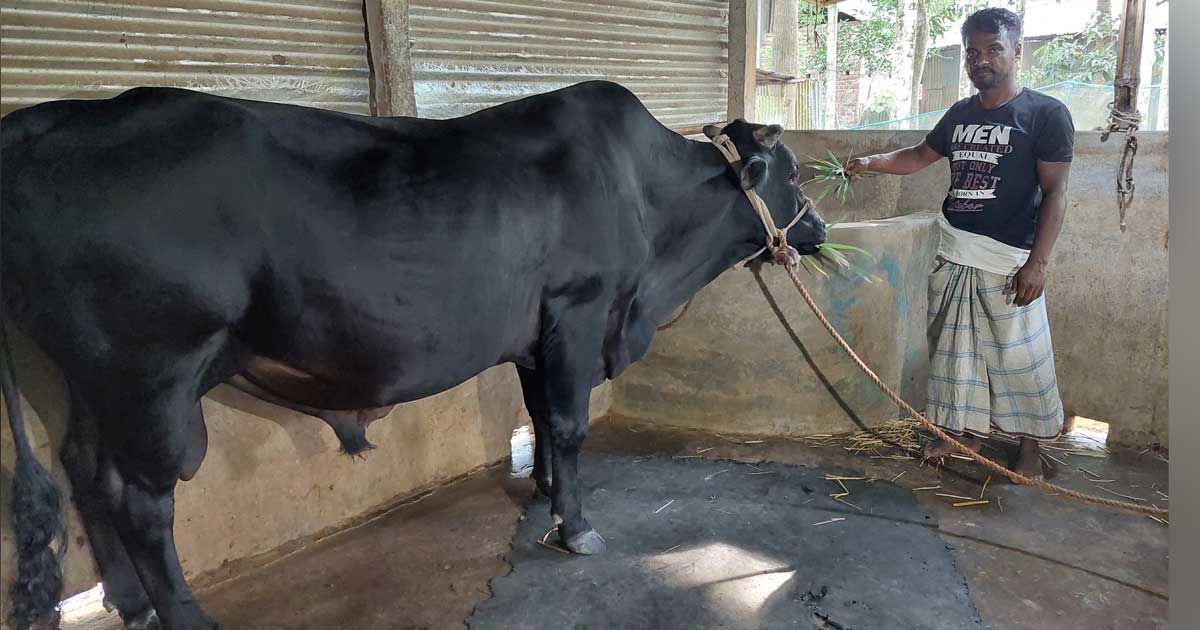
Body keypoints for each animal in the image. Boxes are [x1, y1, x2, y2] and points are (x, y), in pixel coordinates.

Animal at [2, 81, 825, 624]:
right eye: (794, 174)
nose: (817, 228)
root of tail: (47, 118)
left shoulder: (536, 336)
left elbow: (538, 415)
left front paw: (542, 493)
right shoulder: (579, 309)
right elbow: (568, 424)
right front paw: (577, 526)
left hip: (92, 375)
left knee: (87, 469)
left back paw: (131, 600)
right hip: (154, 370)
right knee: (143, 501)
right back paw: (183, 614)